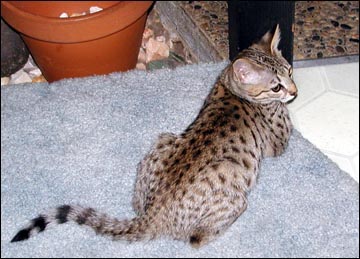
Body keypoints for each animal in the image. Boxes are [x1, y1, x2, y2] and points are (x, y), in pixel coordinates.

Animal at [11, 25, 298, 249]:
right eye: (276, 86)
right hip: (237, 196)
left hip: (163, 139)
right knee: (196, 239)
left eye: (290, 71)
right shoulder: (278, 139)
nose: (294, 91)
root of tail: (152, 215)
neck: (231, 87)